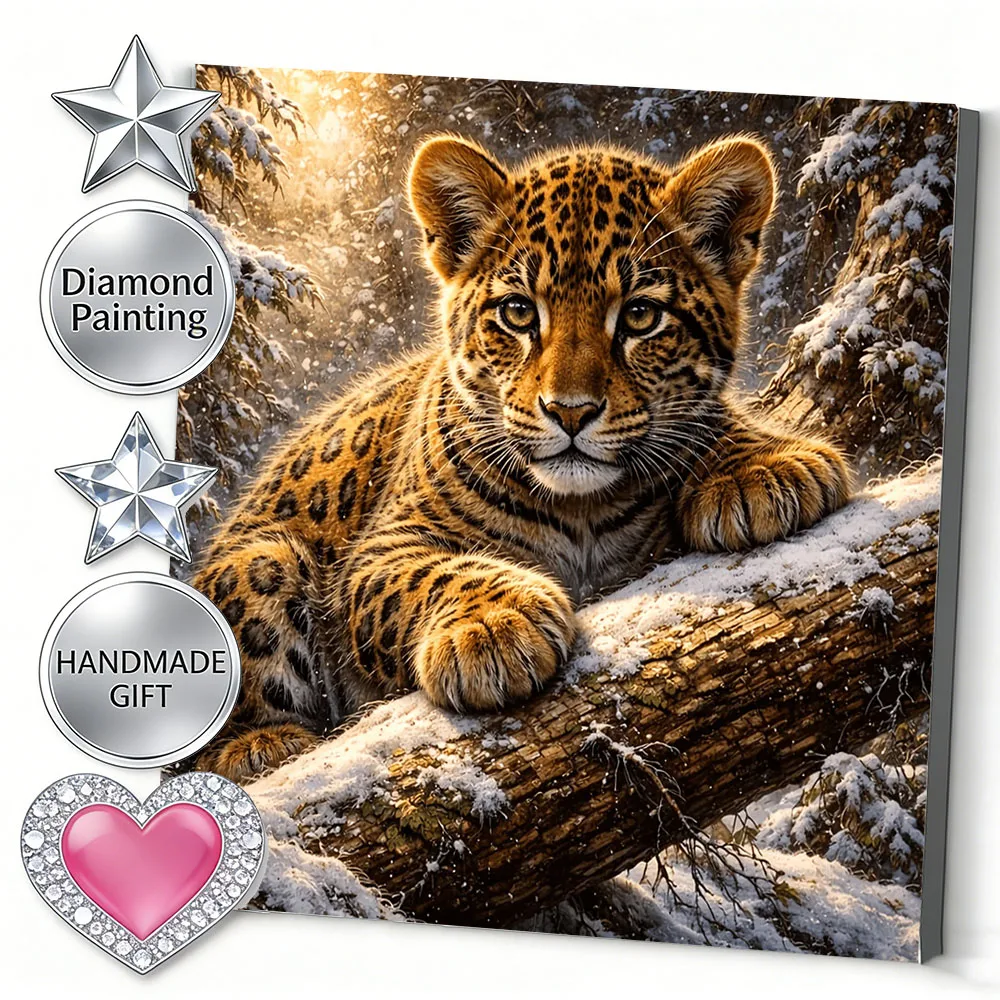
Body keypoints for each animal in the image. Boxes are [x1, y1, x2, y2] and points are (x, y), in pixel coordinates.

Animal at [190, 133, 853, 783]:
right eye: (518, 313)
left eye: (641, 315)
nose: (570, 411)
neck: (584, 512)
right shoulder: (377, 551)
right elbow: (430, 575)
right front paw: (492, 627)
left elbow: (710, 423)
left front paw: (759, 467)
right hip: (263, 558)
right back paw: (263, 745)